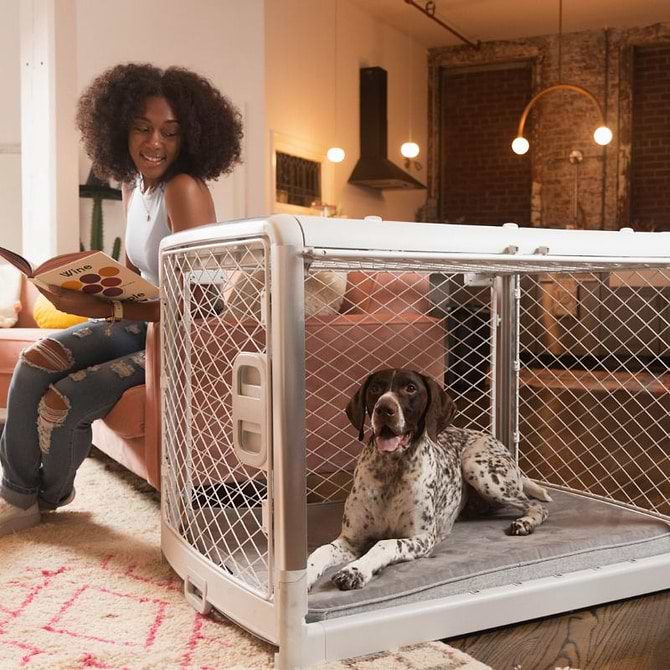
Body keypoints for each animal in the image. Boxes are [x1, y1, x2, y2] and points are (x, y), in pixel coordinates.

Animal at [308, 368, 552, 592]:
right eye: (376, 388)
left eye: (411, 388)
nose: (383, 409)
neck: (390, 470)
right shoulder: (351, 541)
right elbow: (319, 552)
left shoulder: (422, 538)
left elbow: (384, 544)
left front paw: (355, 570)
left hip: (479, 469)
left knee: (536, 505)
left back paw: (524, 523)